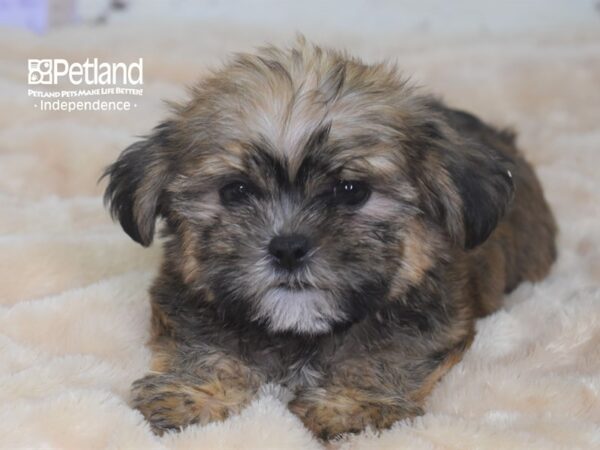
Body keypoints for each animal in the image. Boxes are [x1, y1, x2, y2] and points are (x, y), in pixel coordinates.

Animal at [101, 38, 556, 440]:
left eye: (351, 191)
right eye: (235, 191)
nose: (287, 248)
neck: (300, 334)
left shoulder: (434, 318)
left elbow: (391, 353)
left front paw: (353, 404)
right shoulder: (183, 300)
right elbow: (203, 343)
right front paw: (193, 393)